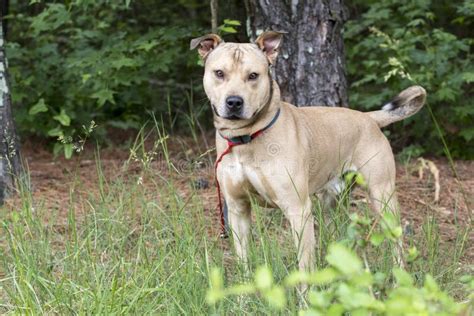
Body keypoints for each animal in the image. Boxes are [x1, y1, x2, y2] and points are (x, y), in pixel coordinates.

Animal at [191, 31, 428, 272]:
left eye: (253, 76)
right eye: (219, 73)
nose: (234, 102)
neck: (246, 138)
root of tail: (369, 117)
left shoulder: (298, 209)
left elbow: (305, 266)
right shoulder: (237, 208)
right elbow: (244, 260)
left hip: (383, 196)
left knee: (396, 242)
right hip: (332, 201)